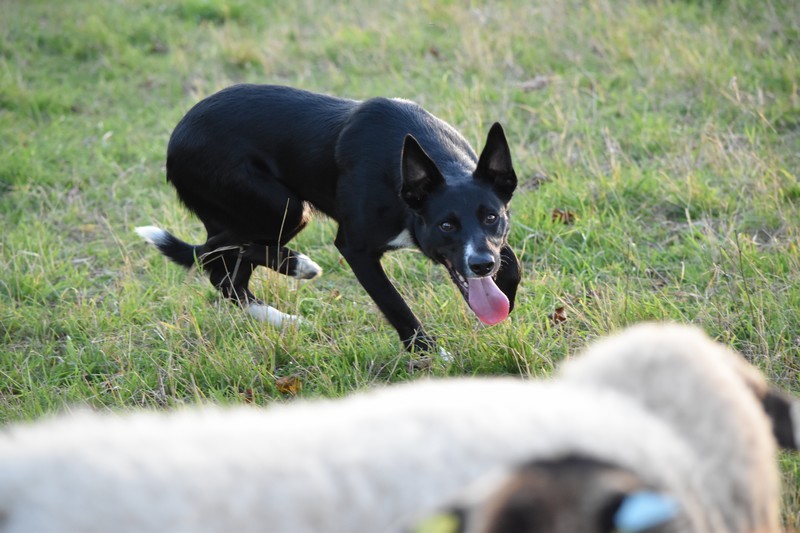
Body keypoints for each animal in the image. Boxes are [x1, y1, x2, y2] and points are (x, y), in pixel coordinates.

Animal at [138, 85, 520, 352]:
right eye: (446, 225)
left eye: (492, 217)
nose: (481, 265)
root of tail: (176, 139)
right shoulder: (355, 248)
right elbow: (395, 304)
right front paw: (429, 353)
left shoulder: (494, 243)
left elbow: (512, 267)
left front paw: (505, 300)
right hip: (283, 207)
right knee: (215, 253)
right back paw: (297, 268)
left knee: (226, 274)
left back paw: (284, 317)